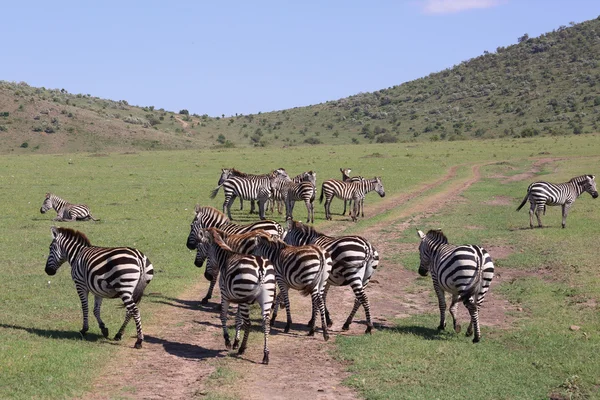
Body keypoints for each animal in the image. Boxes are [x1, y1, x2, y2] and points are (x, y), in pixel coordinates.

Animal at [197, 227, 276, 364]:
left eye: (199, 247)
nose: (207, 276)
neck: (225, 257)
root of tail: (261, 267)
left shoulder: (225, 295)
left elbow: (223, 316)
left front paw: (228, 341)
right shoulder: (238, 298)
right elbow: (238, 319)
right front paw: (236, 342)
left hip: (245, 297)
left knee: (248, 323)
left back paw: (242, 349)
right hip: (266, 298)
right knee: (266, 324)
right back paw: (265, 355)